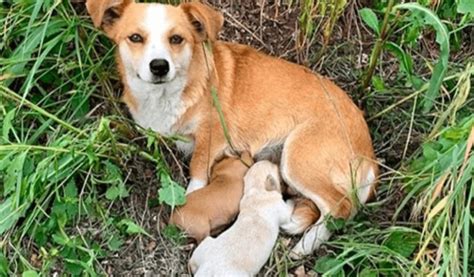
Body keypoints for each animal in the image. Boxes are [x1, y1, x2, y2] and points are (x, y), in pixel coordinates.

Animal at [87, 0, 380, 254]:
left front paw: (194, 199)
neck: (168, 93)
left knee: (342, 207)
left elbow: (197, 170)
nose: (159, 66)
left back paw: (305, 245)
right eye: (135, 37)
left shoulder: (211, 136)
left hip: (297, 157)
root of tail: (369, 152)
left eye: (177, 39)